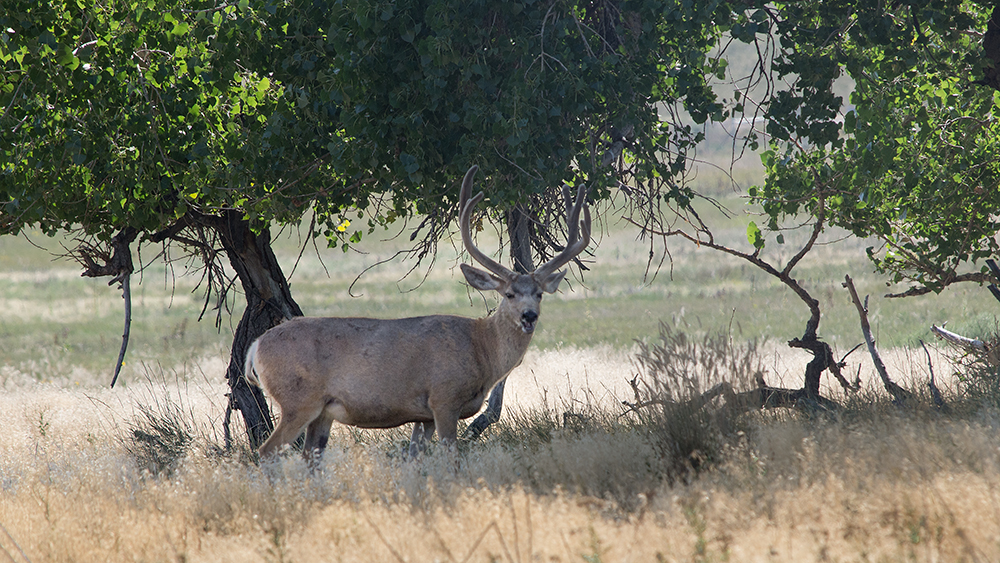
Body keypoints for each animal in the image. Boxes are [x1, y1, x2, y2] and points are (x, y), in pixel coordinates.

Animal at [243, 165, 588, 460]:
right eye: (509, 294)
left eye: (539, 294)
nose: (529, 316)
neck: (481, 349)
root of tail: (254, 347)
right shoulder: (444, 397)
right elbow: (451, 458)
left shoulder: (423, 415)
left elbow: (415, 459)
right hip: (297, 400)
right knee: (266, 452)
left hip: (322, 411)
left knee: (310, 457)